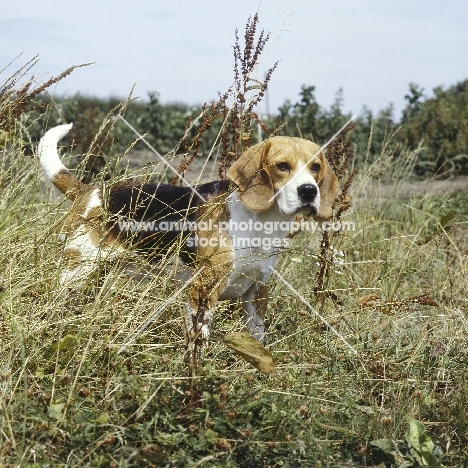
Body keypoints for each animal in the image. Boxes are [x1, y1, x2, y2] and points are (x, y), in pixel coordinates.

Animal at [36, 124, 336, 344]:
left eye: (316, 167)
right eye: (282, 166)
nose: (309, 191)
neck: (260, 223)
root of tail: (92, 191)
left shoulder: (256, 293)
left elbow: (257, 338)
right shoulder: (203, 291)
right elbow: (198, 343)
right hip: (73, 272)